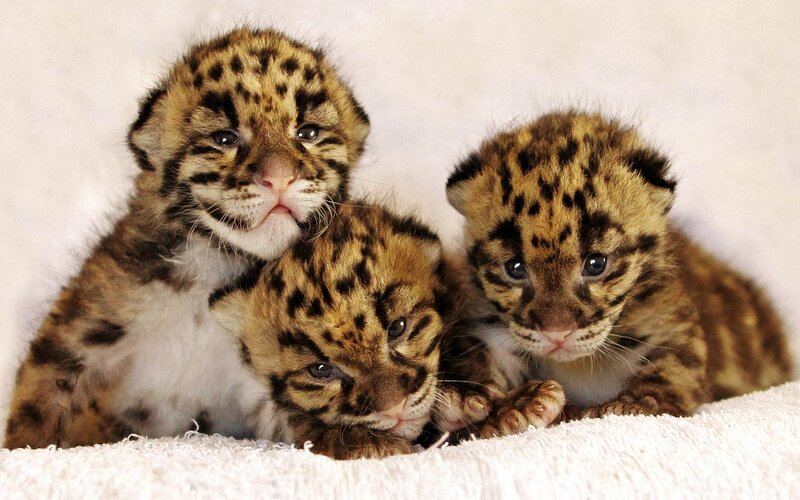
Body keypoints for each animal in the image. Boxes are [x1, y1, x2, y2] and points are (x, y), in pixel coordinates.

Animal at [3, 27, 370, 449]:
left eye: (307, 132)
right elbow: (38, 405)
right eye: (225, 139)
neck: (216, 265)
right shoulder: (77, 337)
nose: (278, 177)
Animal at [440, 110, 793, 433]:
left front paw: (636, 403)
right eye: (514, 268)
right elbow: (479, 358)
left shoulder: (668, 315)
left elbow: (677, 361)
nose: (557, 333)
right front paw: (503, 406)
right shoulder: (487, 326)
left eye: (596, 264)